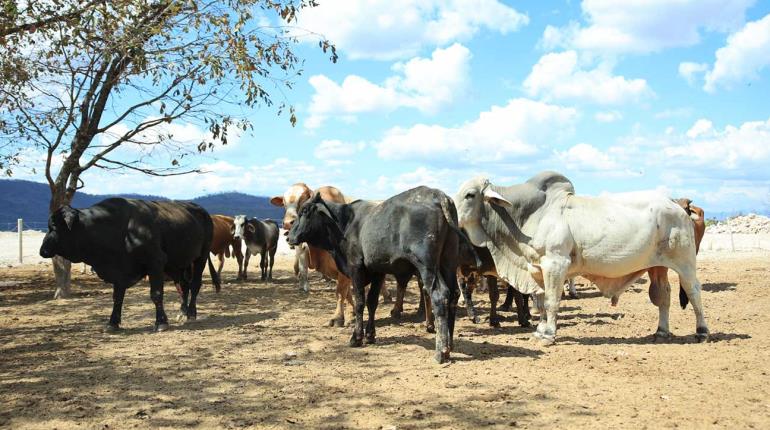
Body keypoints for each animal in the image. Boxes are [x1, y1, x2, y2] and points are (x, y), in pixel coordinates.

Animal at [39, 198, 220, 332]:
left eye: (53, 227)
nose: (42, 250)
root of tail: (200, 210)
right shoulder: (119, 270)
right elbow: (117, 298)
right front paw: (112, 323)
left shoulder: (156, 262)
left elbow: (156, 294)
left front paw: (161, 322)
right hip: (178, 264)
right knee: (183, 286)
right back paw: (182, 312)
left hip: (201, 257)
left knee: (194, 285)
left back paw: (191, 313)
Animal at [270, 181, 390, 326]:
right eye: (284, 202)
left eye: (304, 198)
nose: (288, 223)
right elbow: (347, 293)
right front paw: (352, 312)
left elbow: (341, 292)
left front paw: (338, 317)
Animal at [284, 188, 460, 362]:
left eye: (304, 211)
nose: (288, 236)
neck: (345, 223)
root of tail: (439, 195)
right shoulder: (378, 271)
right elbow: (372, 302)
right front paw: (370, 335)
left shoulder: (356, 267)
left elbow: (360, 302)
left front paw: (356, 337)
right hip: (448, 262)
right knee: (454, 294)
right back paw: (449, 345)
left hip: (426, 264)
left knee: (439, 295)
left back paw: (441, 351)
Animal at [456, 171, 708, 346]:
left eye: (470, 195)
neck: (531, 215)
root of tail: (676, 204)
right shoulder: (536, 268)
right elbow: (540, 302)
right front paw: (539, 330)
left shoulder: (555, 264)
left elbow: (551, 301)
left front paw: (549, 335)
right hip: (657, 266)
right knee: (663, 295)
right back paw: (661, 331)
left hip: (685, 262)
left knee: (694, 291)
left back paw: (702, 331)